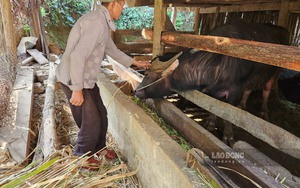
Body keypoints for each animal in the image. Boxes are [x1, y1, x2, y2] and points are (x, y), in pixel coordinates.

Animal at [135, 19, 290, 145]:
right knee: (249, 89)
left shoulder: (234, 91)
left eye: (148, 74)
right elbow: (214, 107)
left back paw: (263, 111)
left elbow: (227, 114)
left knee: (266, 90)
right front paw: (210, 123)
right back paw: (242, 106)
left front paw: (228, 136)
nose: (136, 91)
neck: (215, 63)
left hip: (274, 73)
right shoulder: (214, 91)